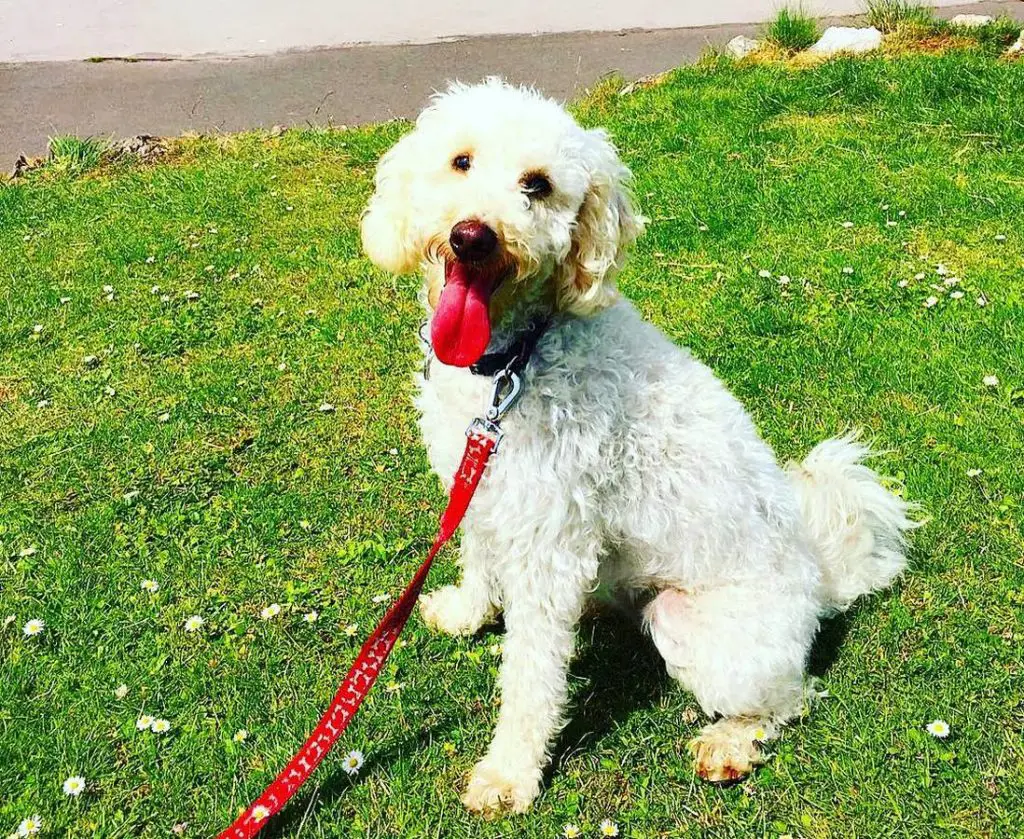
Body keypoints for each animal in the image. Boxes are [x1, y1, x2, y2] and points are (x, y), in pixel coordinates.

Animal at [360, 77, 913, 815]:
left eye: (538, 185)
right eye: (461, 162)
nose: (472, 235)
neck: (511, 363)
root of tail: (822, 580)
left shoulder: (549, 539)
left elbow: (532, 676)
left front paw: (509, 774)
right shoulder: (482, 485)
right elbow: (478, 558)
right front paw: (467, 611)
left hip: (697, 626)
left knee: (792, 698)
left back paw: (730, 744)